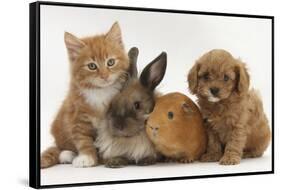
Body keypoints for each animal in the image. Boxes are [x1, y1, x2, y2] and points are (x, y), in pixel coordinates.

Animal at [40, 22, 129, 168]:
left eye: (110, 62)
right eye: (92, 66)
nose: (104, 76)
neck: (100, 91)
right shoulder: (77, 116)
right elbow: (83, 140)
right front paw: (87, 157)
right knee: (60, 148)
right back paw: (67, 155)